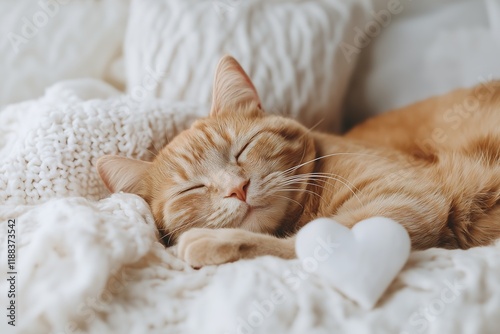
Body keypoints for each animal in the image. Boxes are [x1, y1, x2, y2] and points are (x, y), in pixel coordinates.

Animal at [96, 56, 500, 268]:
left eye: (243, 149)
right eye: (192, 189)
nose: (238, 189)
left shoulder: (406, 199)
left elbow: (310, 241)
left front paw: (217, 242)